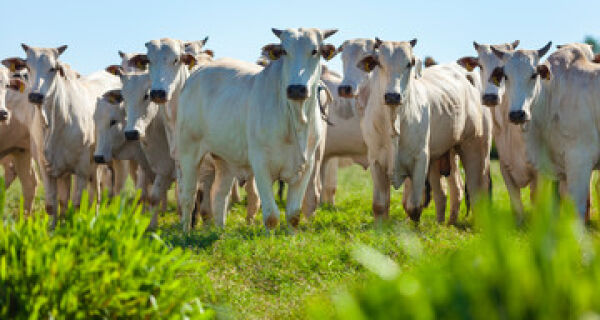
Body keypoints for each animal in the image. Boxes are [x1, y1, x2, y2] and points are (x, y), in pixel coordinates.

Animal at [21, 44, 119, 225]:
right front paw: (54, 229)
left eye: (53, 68)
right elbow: (54, 205)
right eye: (28, 67)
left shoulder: (81, 169)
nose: (35, 95)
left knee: (102, 194)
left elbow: (77, 205)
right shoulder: (47, 169)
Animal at [176, 28, 340, 231]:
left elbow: (294, 215)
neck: (296, 118)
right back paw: (185, 232)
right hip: (189, 151)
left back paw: (221, 231)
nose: (296, 89)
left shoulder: (306, 166)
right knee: (188, 196)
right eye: (284, 51)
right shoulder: (261, 164)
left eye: (315, 51)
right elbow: (271, 216)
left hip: (225, 158)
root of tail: (197, 73)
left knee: (219, 194)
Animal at [356, 38, 492, 222]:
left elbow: (413, 207)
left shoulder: (420, 159)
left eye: (410, 63)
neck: (394, 120)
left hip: (476, 148)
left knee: (477, 191)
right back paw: (445, 223)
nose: (392, 96)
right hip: (442, 156)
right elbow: (380, 206)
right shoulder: (376, 161)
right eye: (379, 63)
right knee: (447, 192)